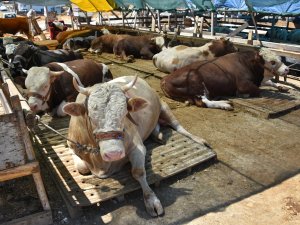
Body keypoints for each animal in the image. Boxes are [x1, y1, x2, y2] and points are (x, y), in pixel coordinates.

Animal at [62, 75, 209, 216]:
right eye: (91, 117)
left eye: (125, 114)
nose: (114, 153)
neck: (100, 163)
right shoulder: (71, 144)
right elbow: (82, 168)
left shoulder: (138, 147)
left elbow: (138, 172)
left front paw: (151, 200)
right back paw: (158, 136)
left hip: (164, 106)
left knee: (179, 127)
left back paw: (200, 140)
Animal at [161, 47, 290, 110]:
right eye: (272, 62)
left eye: (280, 58)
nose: (287, 69)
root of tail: (165, 79)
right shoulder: (243, 85)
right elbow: (258, 90)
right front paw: (244, 95)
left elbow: (270, 82)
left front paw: (283, 87)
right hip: (195, 80)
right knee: (203, 102)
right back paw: (225, 104)